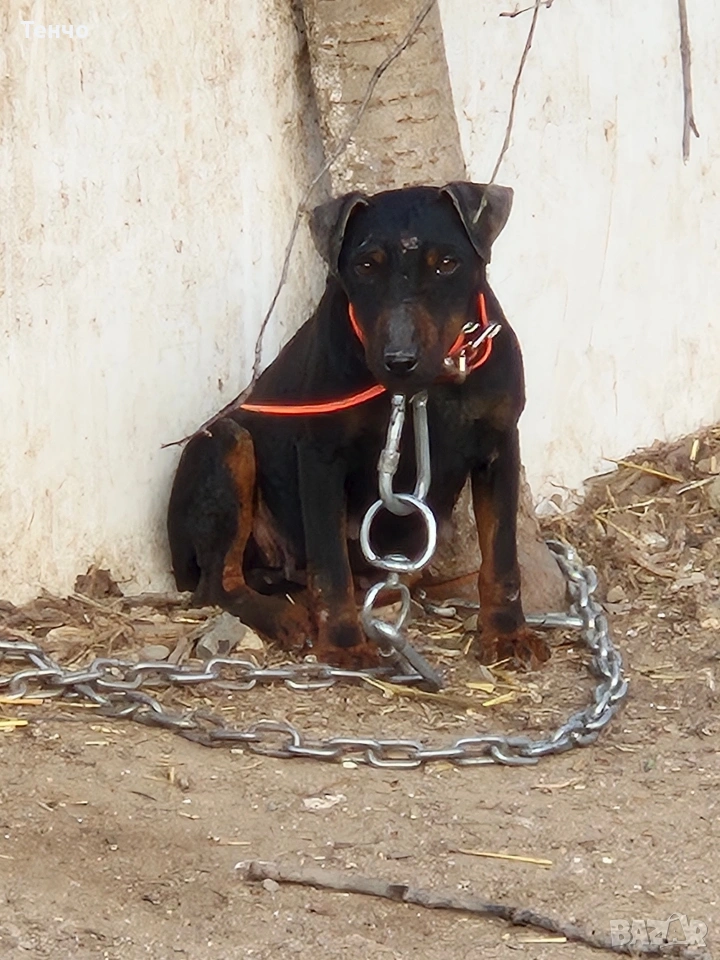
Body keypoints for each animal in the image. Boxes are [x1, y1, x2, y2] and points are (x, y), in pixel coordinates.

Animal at [167, 182, 549, 669]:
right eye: (366, 265)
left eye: (447, 263)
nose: (399, 361)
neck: (428, 389)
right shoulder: (321, 456)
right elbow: (331, 566)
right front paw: (345, 645)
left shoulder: (499, 446)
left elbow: (501, 556)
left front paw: (507, 633)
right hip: (226, 443)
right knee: (220, 581)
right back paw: (283, 617)